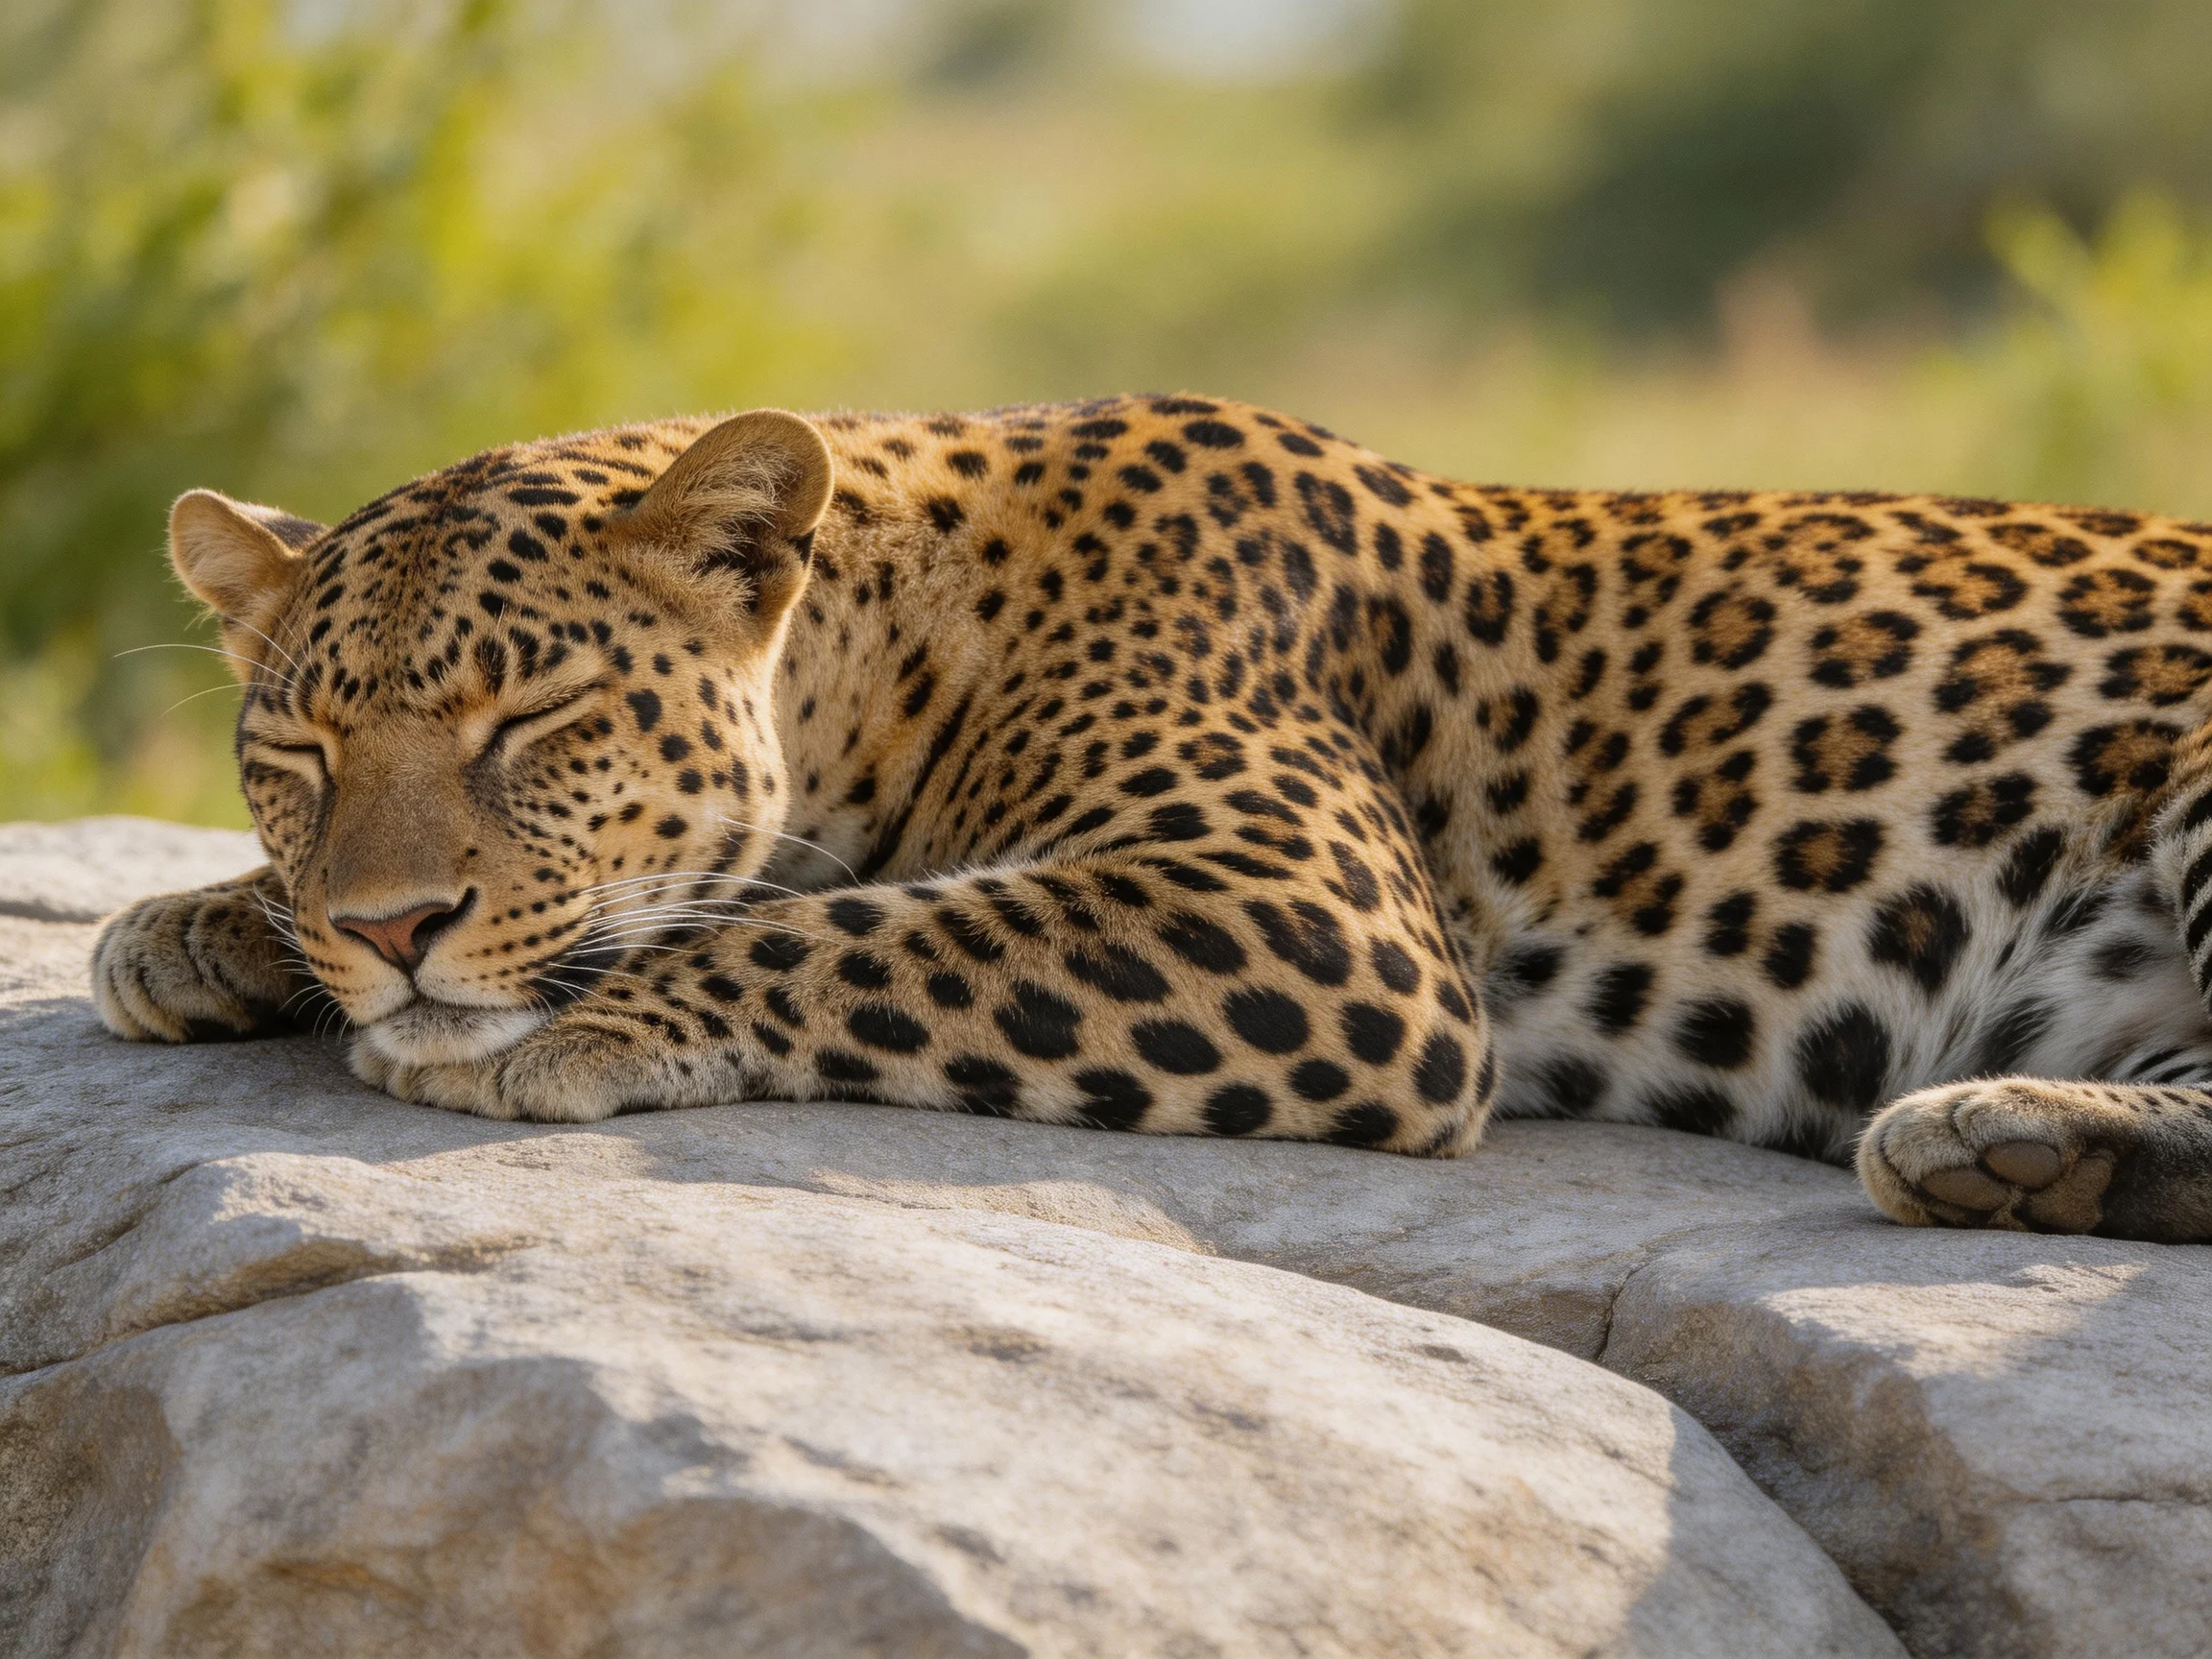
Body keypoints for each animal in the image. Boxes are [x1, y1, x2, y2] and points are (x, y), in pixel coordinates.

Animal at [90, 395, 2212, 1242]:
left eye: (532, 719)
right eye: (297, 753)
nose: (391, 931)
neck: (912, 638)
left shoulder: (1313, 915)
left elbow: (860, 922)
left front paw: (539, 1030)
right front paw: (195, 928)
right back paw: (2010, 1151)